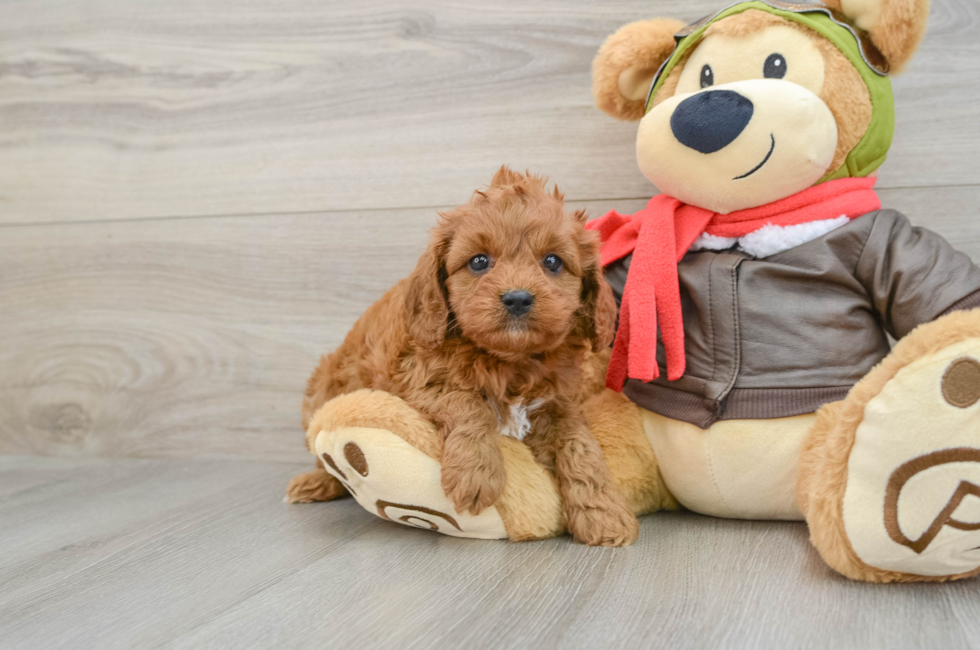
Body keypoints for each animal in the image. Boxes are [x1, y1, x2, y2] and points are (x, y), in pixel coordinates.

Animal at [290, 166, 644, 540]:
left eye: (552, 261)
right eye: (478, 261)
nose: (518, 298)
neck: (510, 360)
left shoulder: (559, 402)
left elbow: (580, 443)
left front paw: (604, 512)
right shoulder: (414, 381)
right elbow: (467, 402)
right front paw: (476, 475)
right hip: (322, 390)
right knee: (321, 445)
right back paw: (317, 481)